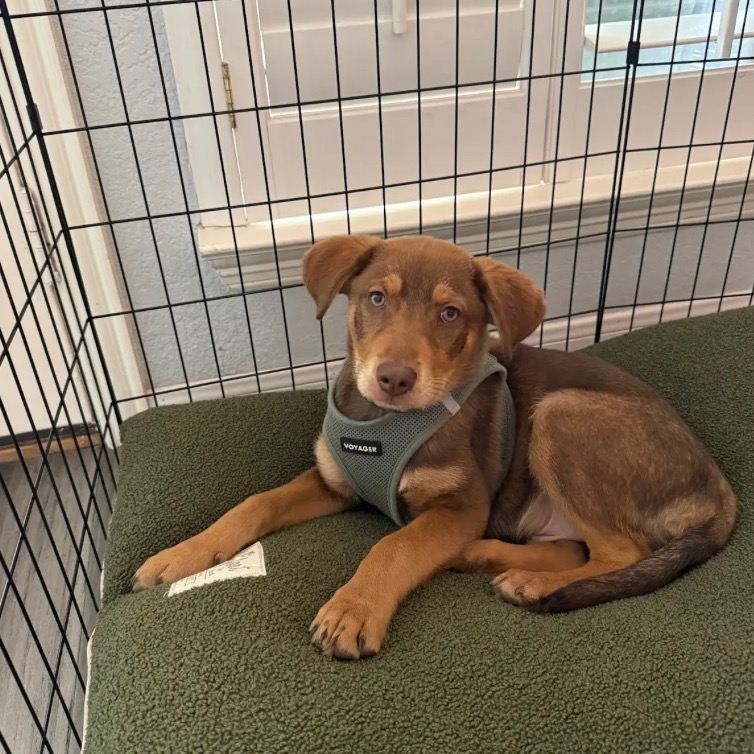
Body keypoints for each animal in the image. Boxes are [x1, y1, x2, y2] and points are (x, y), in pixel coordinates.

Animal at [134, 235, 737, 660]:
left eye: (451, 314)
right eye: (376, 298)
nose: (394, 378)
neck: (383, 423)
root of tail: (720, 487)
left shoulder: (461, 506)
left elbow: (393, 546)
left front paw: (352, 610)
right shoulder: (334, 482)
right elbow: (253, 503)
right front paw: (180, 556)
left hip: (561, 416)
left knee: (621, 553)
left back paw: (532, 584)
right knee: (578, 548)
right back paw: (487, 558)